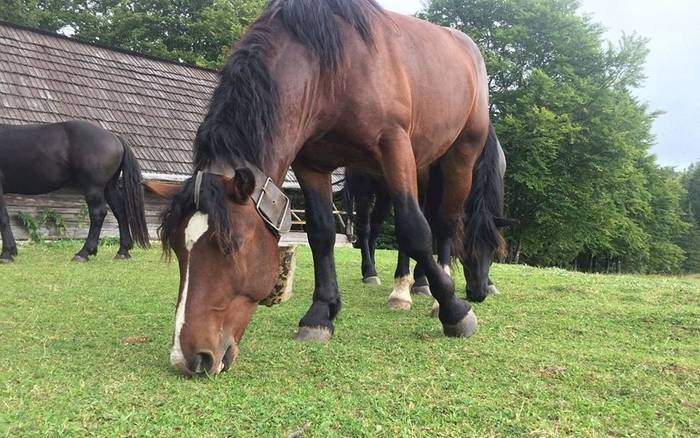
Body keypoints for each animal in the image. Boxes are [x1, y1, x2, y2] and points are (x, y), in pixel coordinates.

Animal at [0, 120, 149, 264]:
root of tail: (115, 137)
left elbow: (3, 218)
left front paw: (6, 254)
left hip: (94, 187)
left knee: (98, 213)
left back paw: (83, 253)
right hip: (109, 187)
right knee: (120, 212)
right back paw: (123, 251)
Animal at [149, 0, 508, 376]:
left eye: (231, 246)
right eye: (178, 249)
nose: (189, 357)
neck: (329, 70)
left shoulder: (394, 145)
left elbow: (414, 230)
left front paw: (455, 310)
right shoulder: (311, 163)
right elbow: (320, 234)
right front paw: (321, 314)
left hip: (460, 154)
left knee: (445, 223)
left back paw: (435, 293)